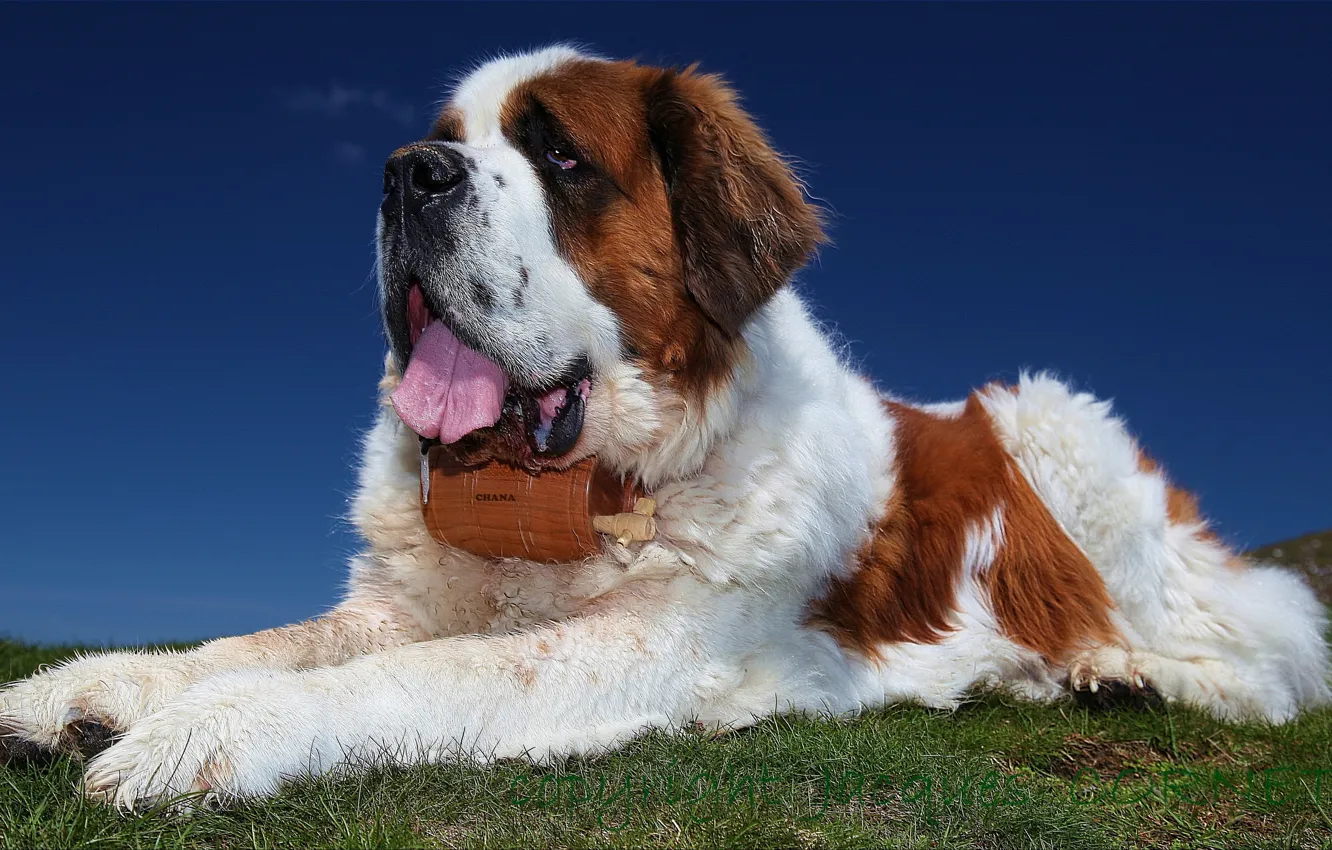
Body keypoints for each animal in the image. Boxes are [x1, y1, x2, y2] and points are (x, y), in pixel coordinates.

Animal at [2, 48, 1332, 810]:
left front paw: (207, 732)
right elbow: (267, 639)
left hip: (1052, 420)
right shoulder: (400, 600)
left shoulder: (647, 644)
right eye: (446, 139)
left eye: (556, 153)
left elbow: (419, 672)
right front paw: (86, 692)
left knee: (1260, 653)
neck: (565, 488)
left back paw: (1127, 670)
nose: (404, 173)